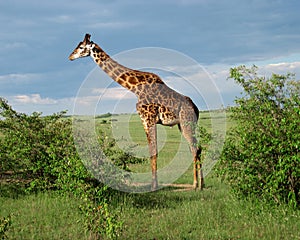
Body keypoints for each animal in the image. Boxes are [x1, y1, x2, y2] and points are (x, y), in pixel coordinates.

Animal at [68, 34, 204, 191]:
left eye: (81, 47)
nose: (70, 56)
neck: (134, 87)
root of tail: (196, 108)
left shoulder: (147, 118)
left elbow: (153, 152)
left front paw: (153, 186)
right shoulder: (149, 120)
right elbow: (153, 151)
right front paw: (154, 185)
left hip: (187, 123)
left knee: (195, 149)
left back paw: (195, 185)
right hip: (183, 125)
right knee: (197, 148)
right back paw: (202, 183)